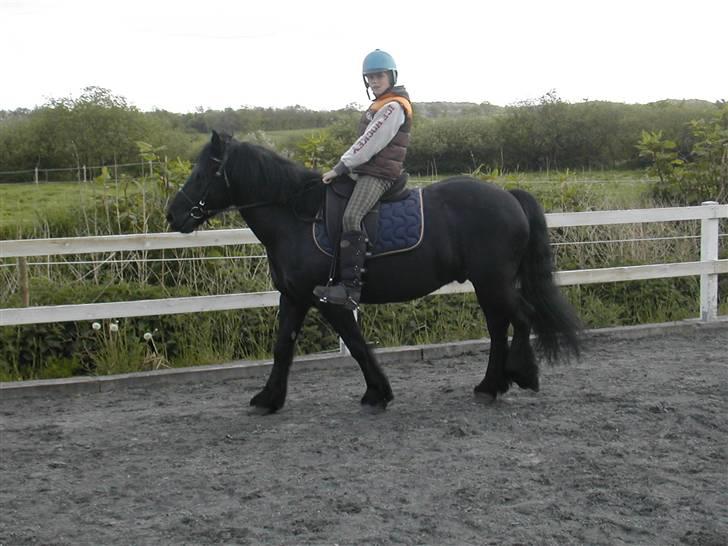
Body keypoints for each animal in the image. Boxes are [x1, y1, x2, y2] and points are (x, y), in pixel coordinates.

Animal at [166, 132, 580, 412]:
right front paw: (269, 398)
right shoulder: (294, 296)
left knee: (521, 318)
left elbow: (356, 343)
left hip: (493, 281)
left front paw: (378, 392)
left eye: (204, 172)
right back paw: (490, 385)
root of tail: (509, 195)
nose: (173, 214)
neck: (298, 217)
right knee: (499, 326)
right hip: (488, 283)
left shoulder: (326, 298)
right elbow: (284, 346)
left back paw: (521, 375)